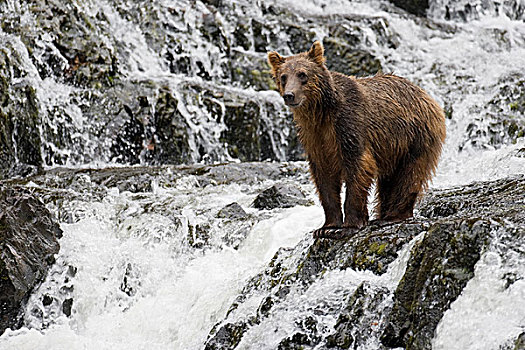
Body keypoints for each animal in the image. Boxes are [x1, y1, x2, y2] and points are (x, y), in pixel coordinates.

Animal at [268, 40, 444, 238]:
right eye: (283, 77)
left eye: (302, 74)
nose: (289, 95)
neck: (321, 112)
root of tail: (427, 95)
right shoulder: (314, 136)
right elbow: (324, 177)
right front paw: (326, 227)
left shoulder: (349, 125)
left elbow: (358, 167)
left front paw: (349, 225)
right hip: (392, 148)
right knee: (389, 180)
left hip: (415, 136)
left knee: (409, 175)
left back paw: (392, 216)